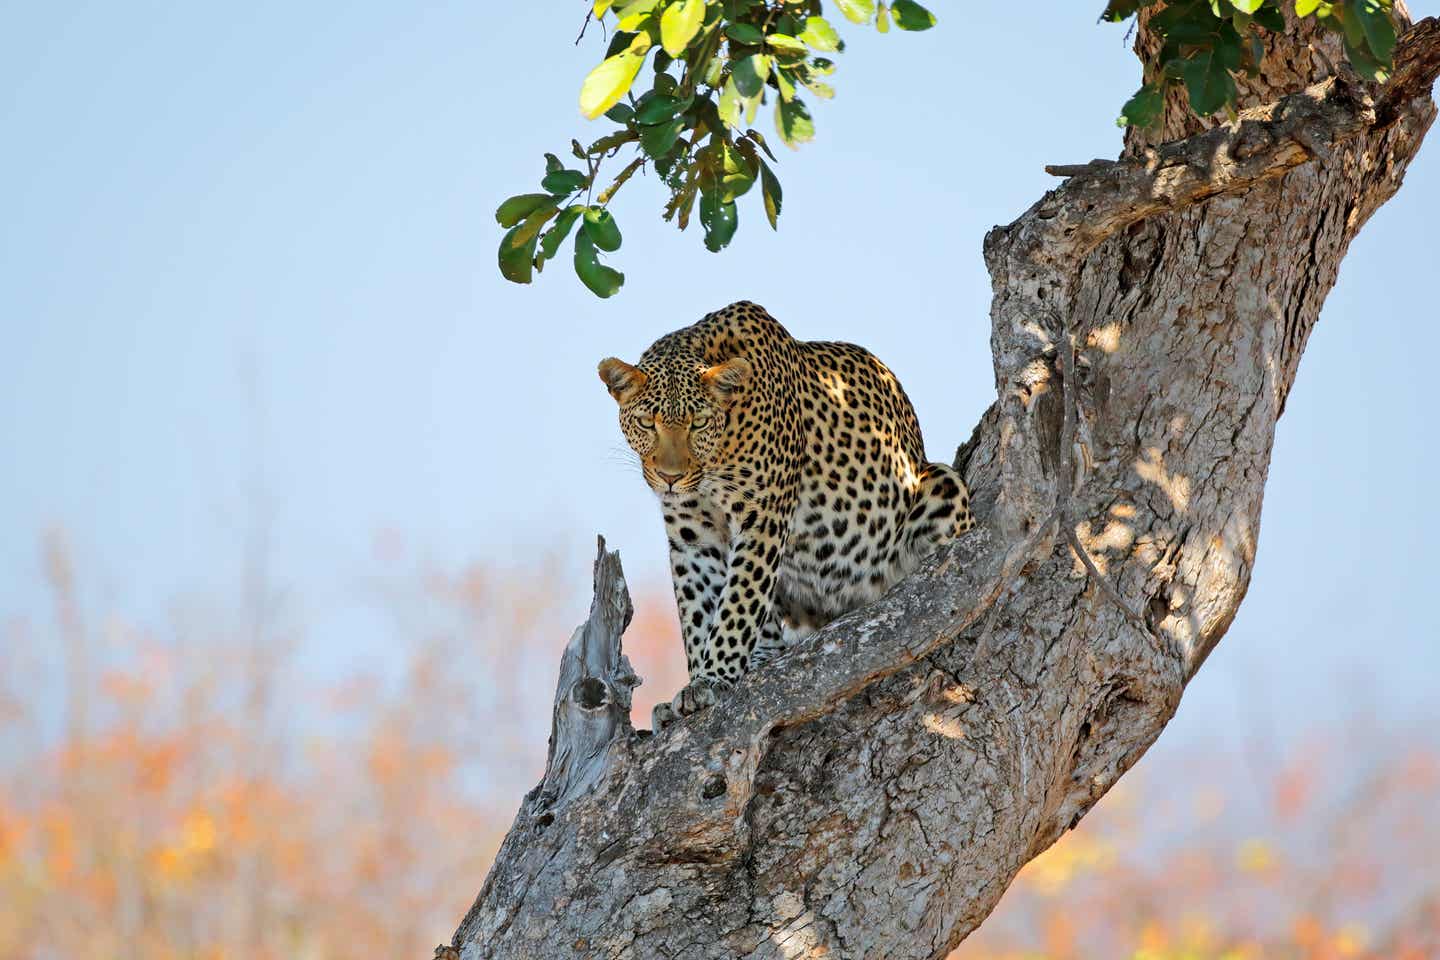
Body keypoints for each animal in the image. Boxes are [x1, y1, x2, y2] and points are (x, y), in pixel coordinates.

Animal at [596, 300, 979, 728]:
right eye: (647, 423)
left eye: (699, 423)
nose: (670, 477)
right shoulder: (693, 536)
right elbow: (697, 610)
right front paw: (697, 681)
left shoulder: (763, 517)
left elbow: (738, 603)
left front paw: (714, 677)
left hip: (940, 484)